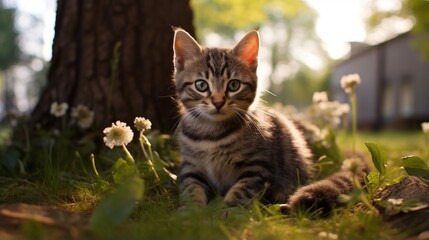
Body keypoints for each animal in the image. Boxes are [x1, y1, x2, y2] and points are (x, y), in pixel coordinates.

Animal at [172, 28, 360, 214]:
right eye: (201, 85)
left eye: (233, 85)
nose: (218, 102)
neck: (211, 133)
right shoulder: (191, 166)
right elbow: (190, 187)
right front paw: (190, 212)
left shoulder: (258, 167)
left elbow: (241, 190)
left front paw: (229, 211)